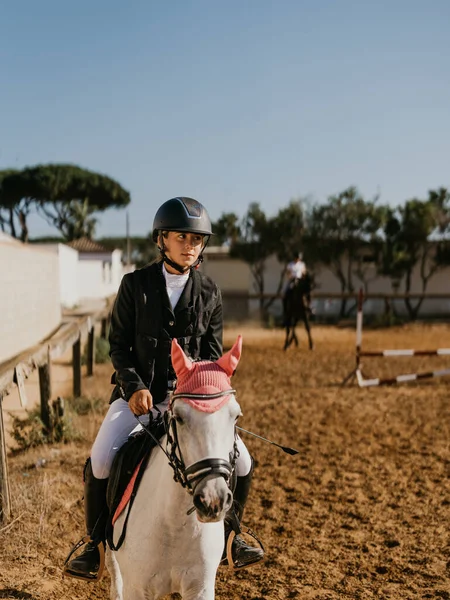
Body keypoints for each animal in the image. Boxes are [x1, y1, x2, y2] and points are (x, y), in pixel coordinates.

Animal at [106, 336, 243, 596]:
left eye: (236, 416)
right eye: (179, 417)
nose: (213, 501)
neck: (174, 522)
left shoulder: (200, 587)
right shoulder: (137, 589)